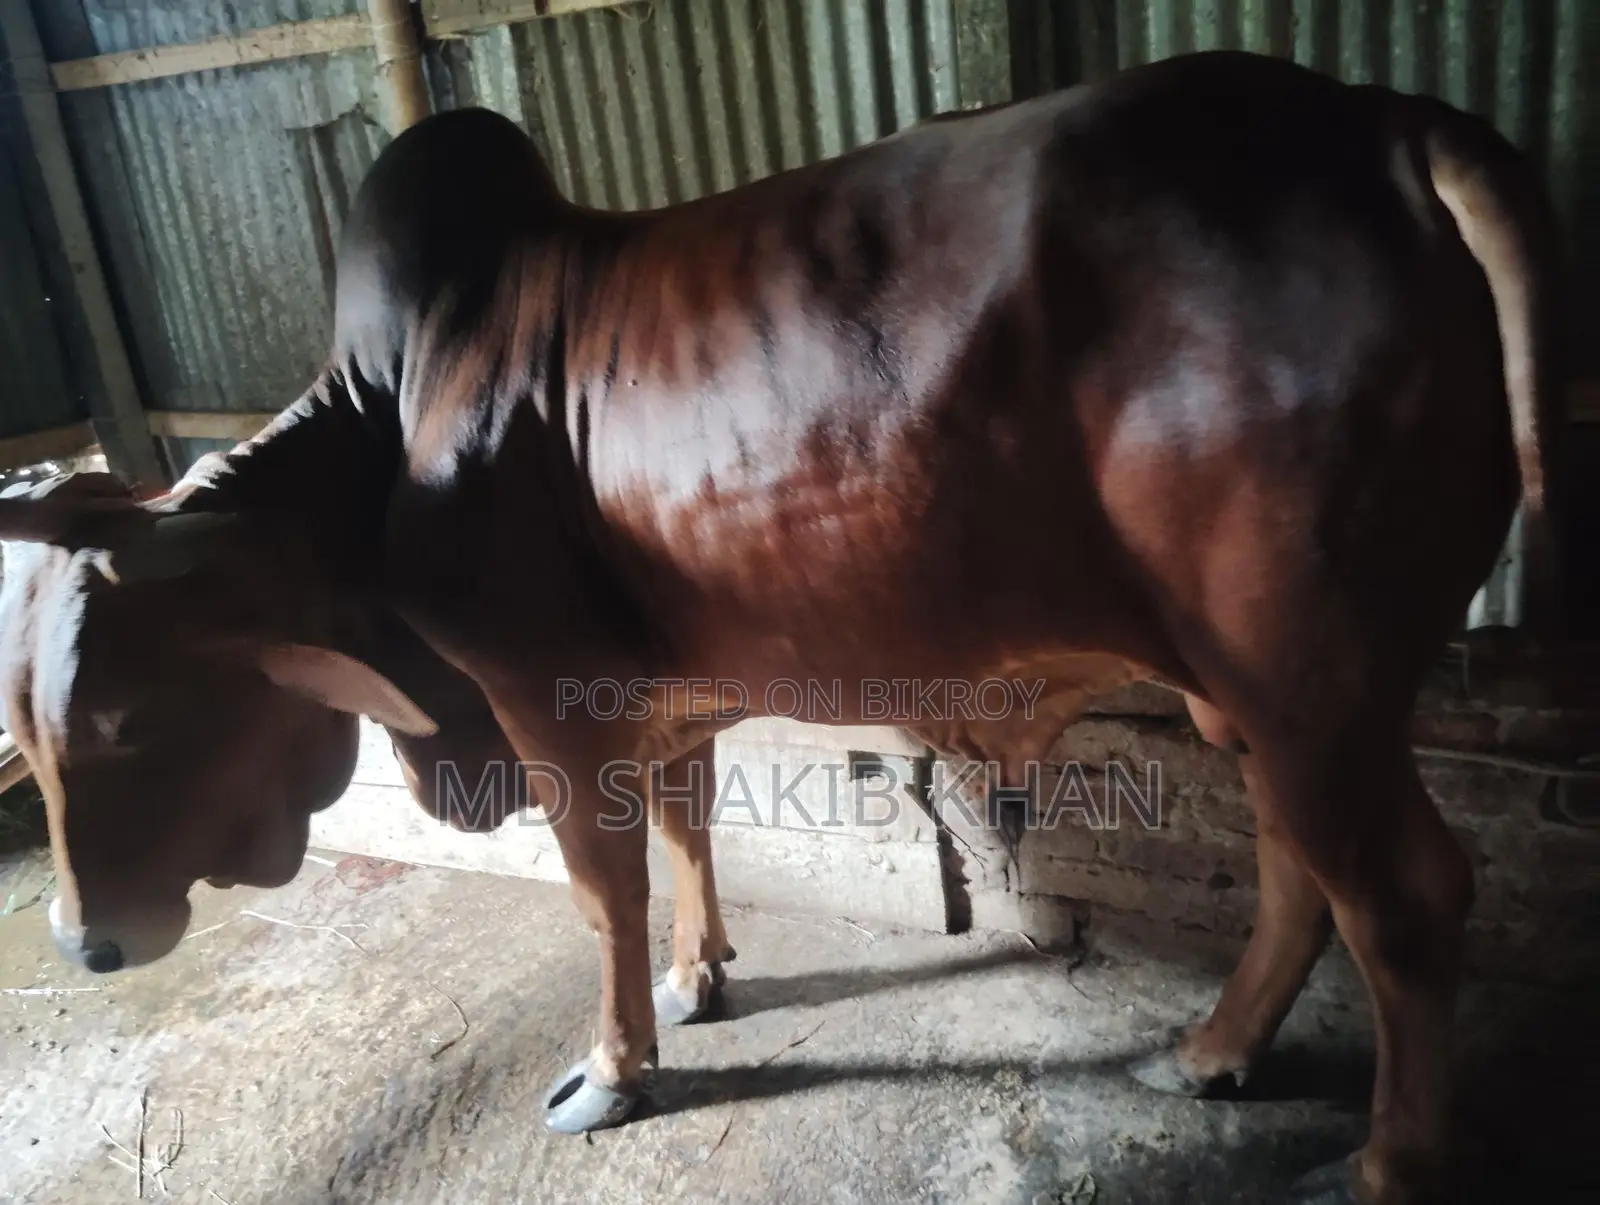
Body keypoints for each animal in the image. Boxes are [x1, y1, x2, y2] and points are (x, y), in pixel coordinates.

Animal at [0, 50, 1568, 1205]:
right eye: (26, 725)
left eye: (125, 717)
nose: (84, 943)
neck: (393, 430)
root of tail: (1390, 125)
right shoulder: (665, 697)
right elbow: (690, 831)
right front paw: (701, 976)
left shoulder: (544, 704)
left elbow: (603, 888)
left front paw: (614, 1067)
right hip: (1265, 691)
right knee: (1304, 867)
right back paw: (1217, 1048)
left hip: (1311, 679)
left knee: (1405, 897)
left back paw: (1389, 1162)